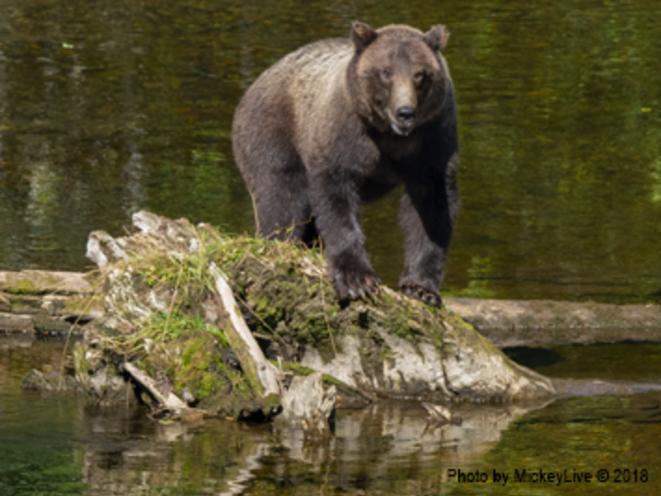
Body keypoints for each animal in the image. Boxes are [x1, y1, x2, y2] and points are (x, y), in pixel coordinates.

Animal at [232, 21, 459, 307]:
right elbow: (336, 199)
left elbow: (431, 209)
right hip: (272, 131)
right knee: (281, 197)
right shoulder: (343, 135)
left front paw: (421, 288)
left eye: (420, 74)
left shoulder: (432, 141)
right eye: (385, 72)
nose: (405, 112)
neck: (389, 136)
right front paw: (357, 280)